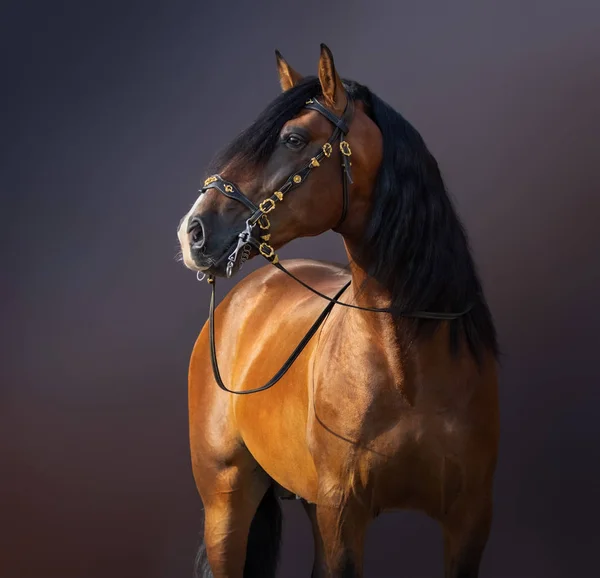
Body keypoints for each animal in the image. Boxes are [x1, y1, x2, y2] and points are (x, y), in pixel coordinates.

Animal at [176, 45, 500, 576]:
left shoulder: (469, 518)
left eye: (293, 138)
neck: (406, 368)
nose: (193, 232)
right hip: (225, 499)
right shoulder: (343, 516)